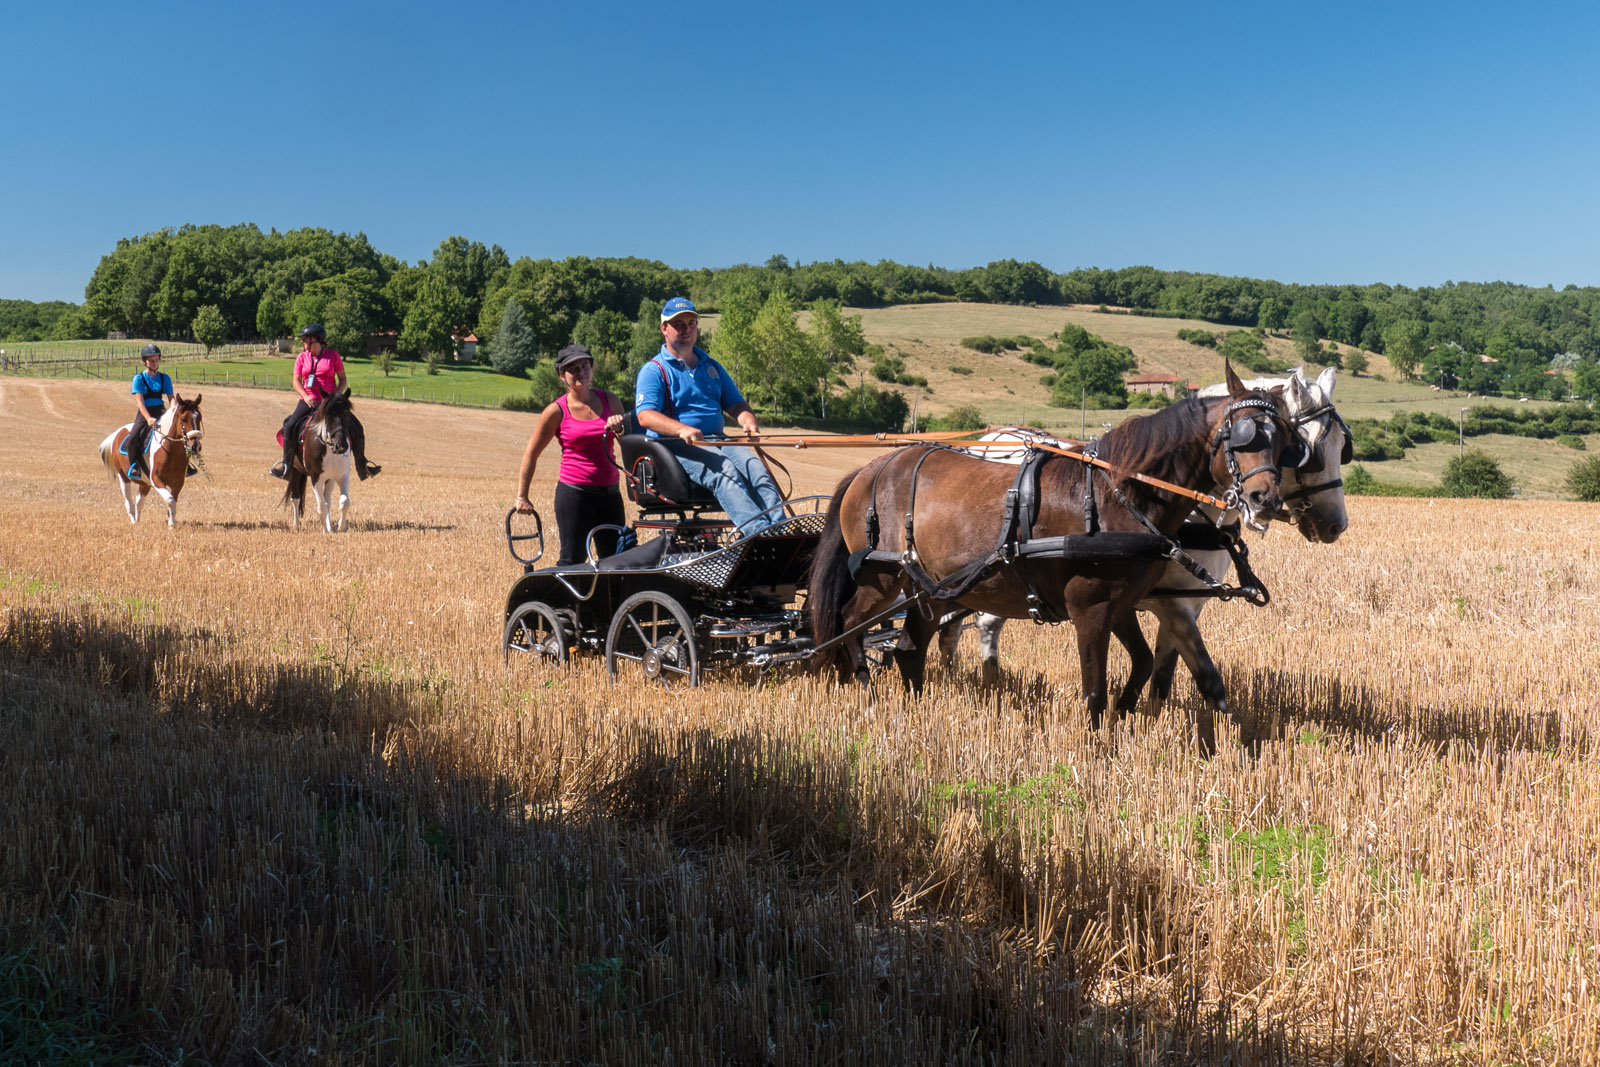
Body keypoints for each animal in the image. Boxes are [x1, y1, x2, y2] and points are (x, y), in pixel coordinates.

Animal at [96, 395, 204, 527]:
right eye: (183, 419)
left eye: (199, 418)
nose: (196, 446)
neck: (170, 450)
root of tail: (118, 432)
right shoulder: (156, 479)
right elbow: (170, 500)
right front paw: (171, 525)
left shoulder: (178, 482)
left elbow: (173, 501)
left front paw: (171, 522)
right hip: (123, 477)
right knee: (129, 503)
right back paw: (133, 522)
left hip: (145, 483)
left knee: (139, 501)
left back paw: (138, 521)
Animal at [283, 388, 355, 534]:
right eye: (328, 416)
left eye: (347, 414)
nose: (341, 446)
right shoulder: (316, 478)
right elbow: (321, 507)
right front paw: (325, 531)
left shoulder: (342, 476)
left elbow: (344, 502)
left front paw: (339, 526)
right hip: (295, 471)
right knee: (296, 498)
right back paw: (296, 525)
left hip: (329, 479)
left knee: (327, 499)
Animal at [812, 363, 1299, 755]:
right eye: (1242, 437)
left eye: (1286, 443)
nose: (1266, 500)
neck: (1116, 494)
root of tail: (868, 469)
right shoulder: (1091, 608)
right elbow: (1094, 690)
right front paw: (1096, 750)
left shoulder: (1120, 605)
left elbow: (1143, 665)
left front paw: (1124, 721)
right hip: (881, 577)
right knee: (849, 621)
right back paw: (865, 690)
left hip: (929, 588)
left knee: (909, 650)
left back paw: (913, 716)